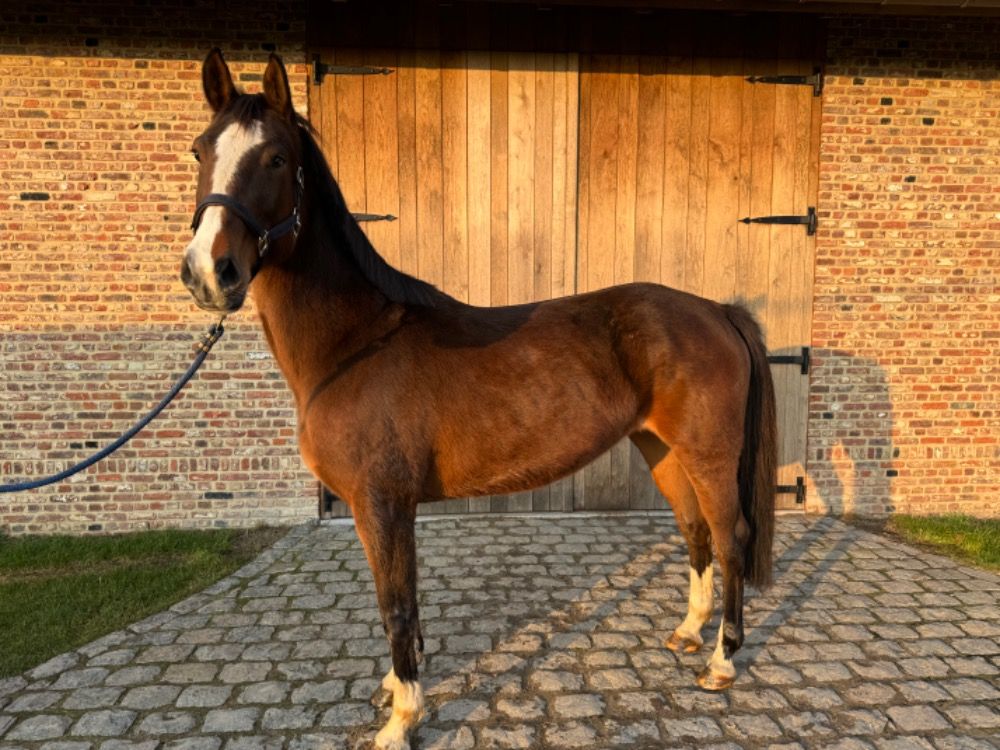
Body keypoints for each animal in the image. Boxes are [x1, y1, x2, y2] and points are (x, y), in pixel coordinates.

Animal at [180, 49, 777, 750]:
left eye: (275, 158)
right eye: (199, 150)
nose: (208, 273)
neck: (356, 344)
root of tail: (717, 310)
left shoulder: (382, 503)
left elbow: (395, 603)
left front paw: (401, 718)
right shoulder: (387, 508)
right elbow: (402, 600)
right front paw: (398, 687)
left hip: (708, 453)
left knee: (731, 536)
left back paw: (721, 662)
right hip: (662, 449)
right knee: (695, 531)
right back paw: (687, 633)